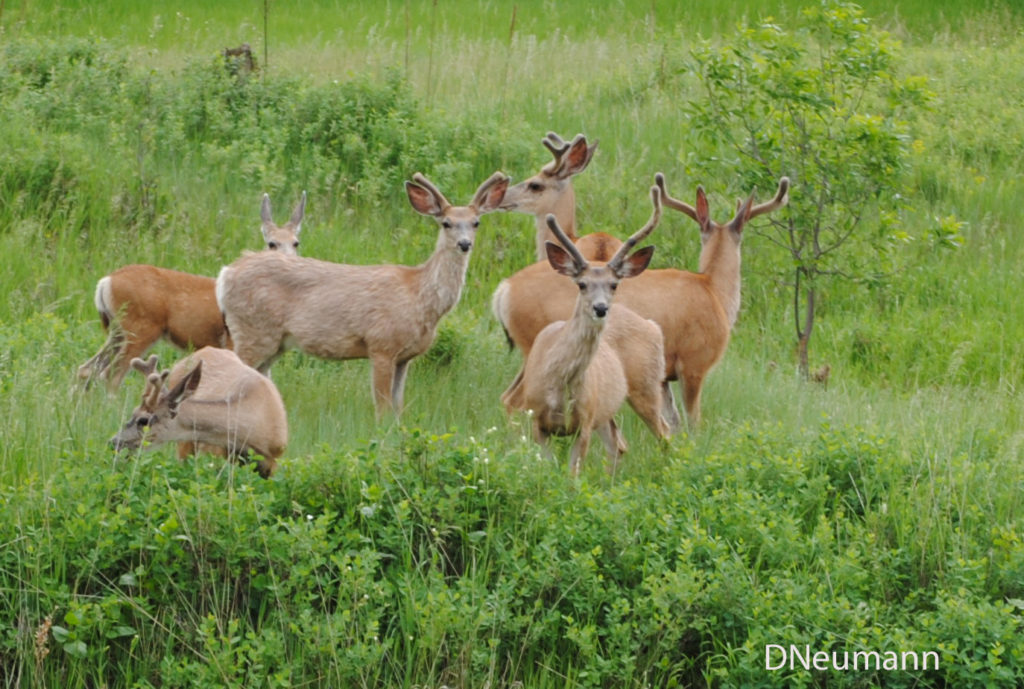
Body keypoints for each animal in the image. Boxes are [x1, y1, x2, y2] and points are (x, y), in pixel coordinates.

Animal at [77, 191, 307, 390]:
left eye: (296, 243)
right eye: (272, 243)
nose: (291, 263)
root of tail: (105, 282)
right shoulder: (233, 342)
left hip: (118, 332)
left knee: (86, 369)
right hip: (140, 328)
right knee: (110, 376)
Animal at [215, 172, 509, 417]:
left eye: (476, 222)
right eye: (446, 223)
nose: (464, 244)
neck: (419, 295)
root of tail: (225, 274)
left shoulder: (405, 357)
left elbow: (398, 407)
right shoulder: (381, 344)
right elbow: (382, 407)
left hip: (273, 342)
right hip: (252, 331)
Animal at [494, 173, 790, 429]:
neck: (714, 291)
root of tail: (504, 290)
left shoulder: (664, 376)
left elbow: (674, 421)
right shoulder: (694, 362)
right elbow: (693, 422)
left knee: (507, 397)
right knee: (516, 401)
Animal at [513, 190, 662, 477]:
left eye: (614, 285)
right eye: (581, 284)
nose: (601, 308)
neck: (560, 383)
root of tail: (652, 325)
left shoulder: (585, 422)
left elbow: (572, 474)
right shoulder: (537, 419)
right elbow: (548, 469)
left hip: (646, 387)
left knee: (666, 435)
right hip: (609, 410)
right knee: (618, 444)